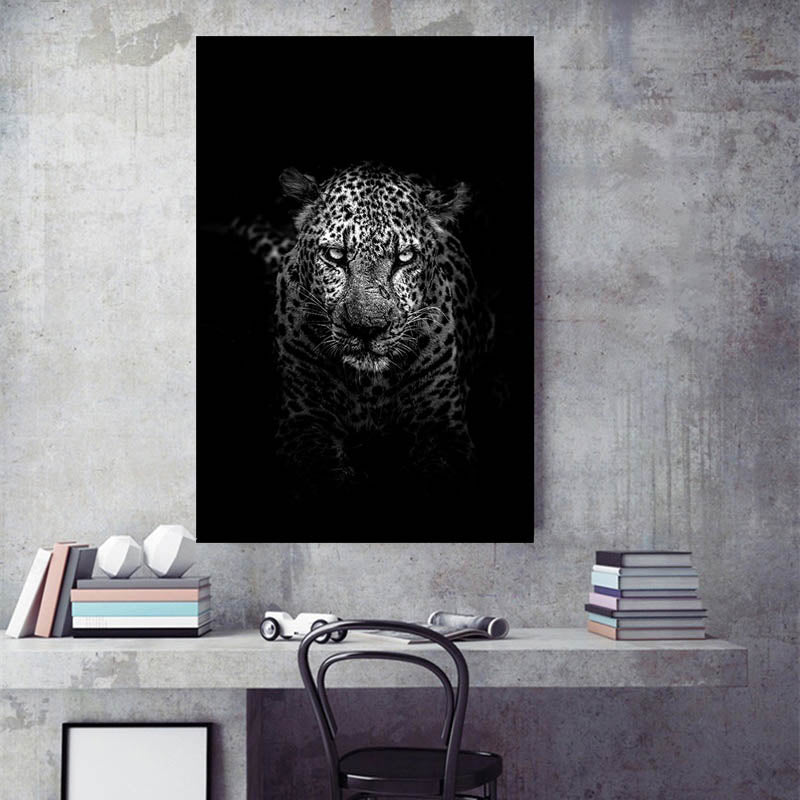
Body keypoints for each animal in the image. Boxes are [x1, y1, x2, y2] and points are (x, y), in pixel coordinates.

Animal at [234, 162, 494, 515]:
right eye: (335, 255)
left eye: (404, 258)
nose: (367, 328)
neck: (370, 386)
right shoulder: (302, 421)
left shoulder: (442, 428)